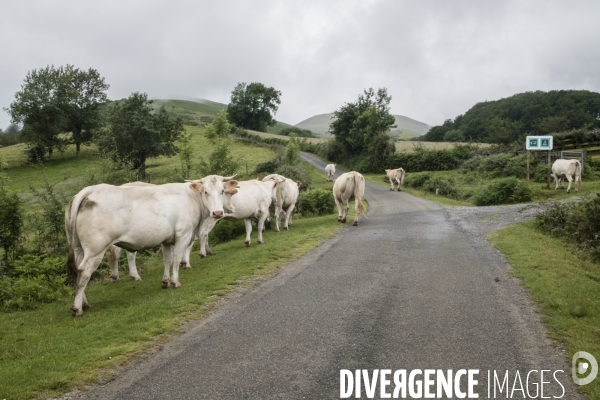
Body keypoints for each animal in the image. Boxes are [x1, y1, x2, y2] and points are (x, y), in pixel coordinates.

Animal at [63, 177, 237, 318]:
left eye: (222, 191)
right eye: (206, 192)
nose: (217, 212)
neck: (191, 198)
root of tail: (90, 189)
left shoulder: (166, 240)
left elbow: (167, 261)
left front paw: (166, 282)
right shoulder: (183, 234)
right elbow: (176, 260)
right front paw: (176, 282)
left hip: (79, 248)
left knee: (78, 271)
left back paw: (84, 303)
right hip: (96, 249)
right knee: (85, 273)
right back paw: (77, 308)